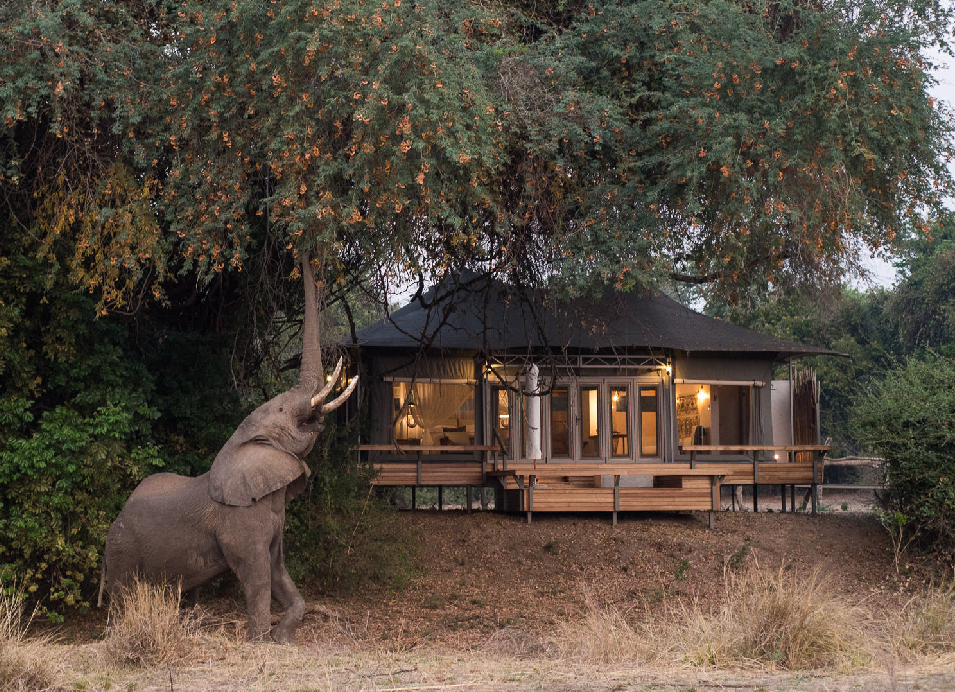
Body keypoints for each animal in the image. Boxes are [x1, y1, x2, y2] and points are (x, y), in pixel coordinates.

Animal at [99, 251, 357, 644]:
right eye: (281, 410)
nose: (300, 249)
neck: (242, 443)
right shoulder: (239, 520)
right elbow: (256, 573)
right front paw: (260, 641)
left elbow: (277, 568)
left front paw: (282, 637)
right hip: (121, 549)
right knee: (122, 598)